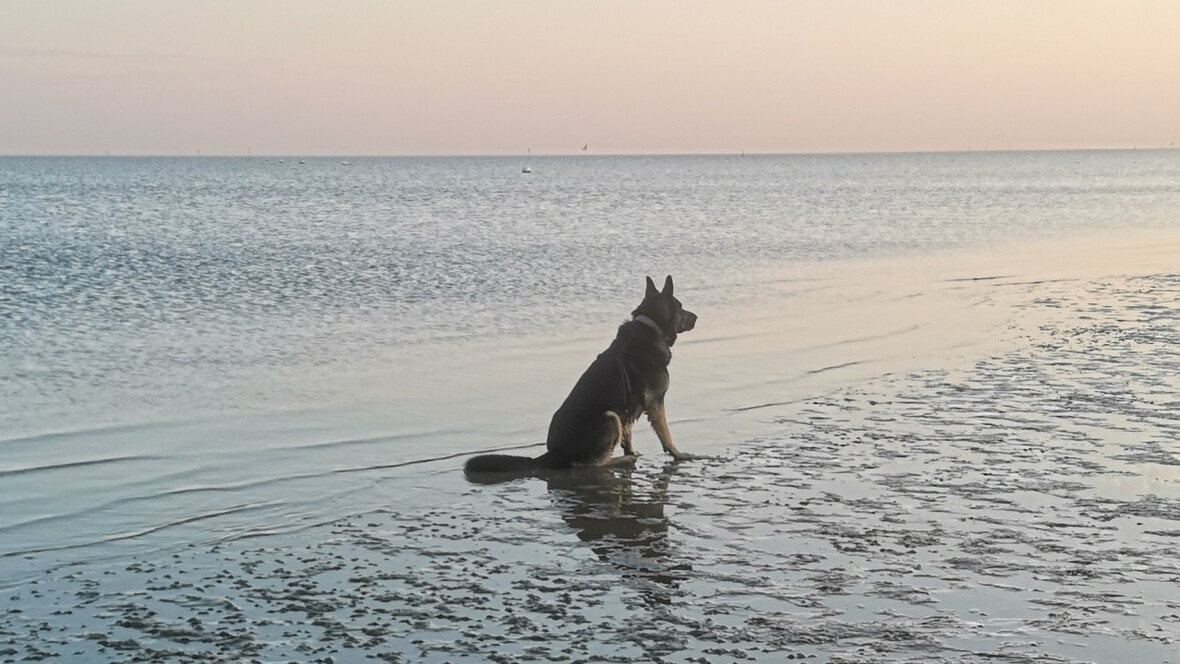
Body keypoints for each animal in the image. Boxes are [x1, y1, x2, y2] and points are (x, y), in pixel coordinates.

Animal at [464, 277, 693, 478]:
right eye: (681, 307)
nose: (697, 317)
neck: (652, 325)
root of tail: (554, 453)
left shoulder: (628, 412)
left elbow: (628, 438)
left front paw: (632, 451)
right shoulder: (655, 403)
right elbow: (666, 435)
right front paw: (679, 454)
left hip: (615, 417)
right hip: (609, 417)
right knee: (590, 464)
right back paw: (622, 460)